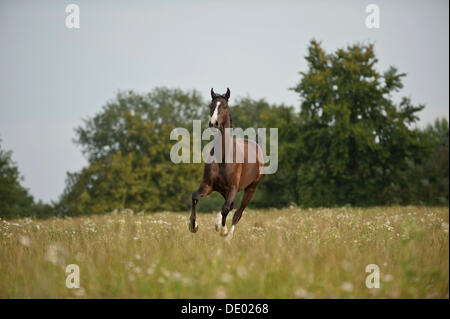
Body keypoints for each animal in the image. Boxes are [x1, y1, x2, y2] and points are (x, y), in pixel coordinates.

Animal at [189, 87, 264, 240]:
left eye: (224, 106)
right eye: (211, 105)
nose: (213, 123)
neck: (223, 157)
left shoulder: (233, 188)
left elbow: (226, 208)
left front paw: (222, 229)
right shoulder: (208, 185)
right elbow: (194, 197)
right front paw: (193, 226)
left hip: (251, 189)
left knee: (237, 212)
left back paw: (228, 236)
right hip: (224, 190)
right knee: (231, 205)